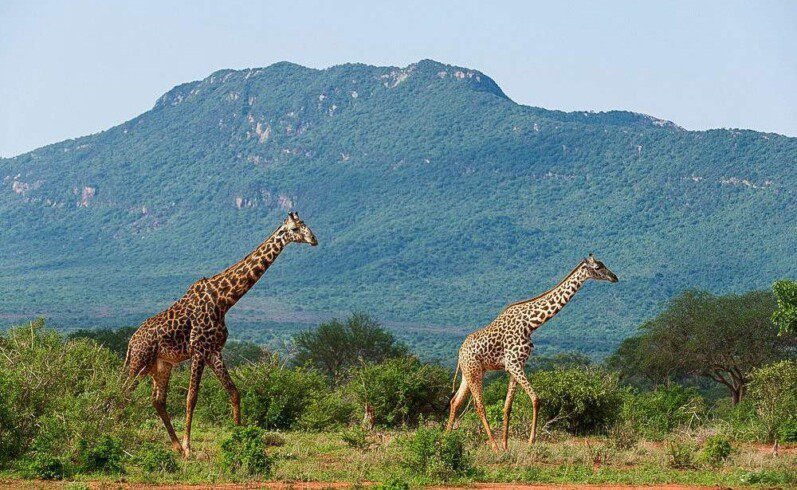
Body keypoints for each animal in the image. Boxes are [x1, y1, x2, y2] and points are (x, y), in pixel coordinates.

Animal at [123, 212, 317, 457]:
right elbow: (191, 397)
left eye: (306, 225)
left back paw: (175, 446)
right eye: (295, 229)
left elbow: (233, 391)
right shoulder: (199, 349)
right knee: (124, 392)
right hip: (139, 361)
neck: (223, 300)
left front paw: (239, 439)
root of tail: (131, 342)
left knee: (157, 400)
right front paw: (189, 447)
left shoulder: (214, 351)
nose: (314, 240)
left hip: (160, 365)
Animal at [446, 254, 618, 452]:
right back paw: (493, 446)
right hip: (474, 371)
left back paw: (446, 438)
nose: (614, 277)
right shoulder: (514, 363)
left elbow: (507, 406)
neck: (530, 324)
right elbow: (536, 399)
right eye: (598, 267)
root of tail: (460, 353)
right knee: (478, 404)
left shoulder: (515, 366)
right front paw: (530, 441)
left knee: (455, 401)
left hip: (470, 372)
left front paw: (507, 446)